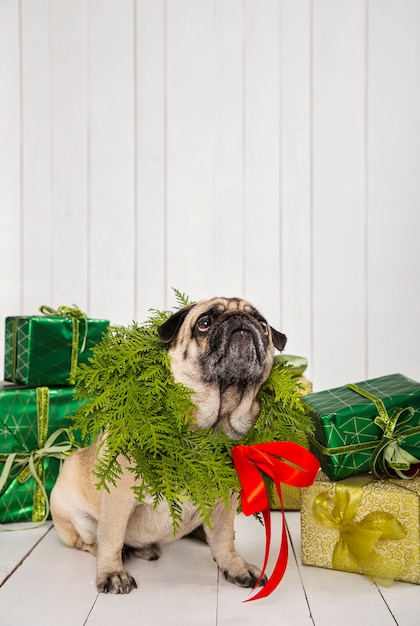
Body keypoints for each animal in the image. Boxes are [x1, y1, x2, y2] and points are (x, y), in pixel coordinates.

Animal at [49, 294, 286, 592]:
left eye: (263, 325)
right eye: (204, 323)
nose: (240, 320)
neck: (213, 423)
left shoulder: (225, 501)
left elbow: (222, 540)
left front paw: (234, 566)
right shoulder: (118, 495)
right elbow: (111, 536)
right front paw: (112, 572)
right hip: (72, 510)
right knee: (91, 540)